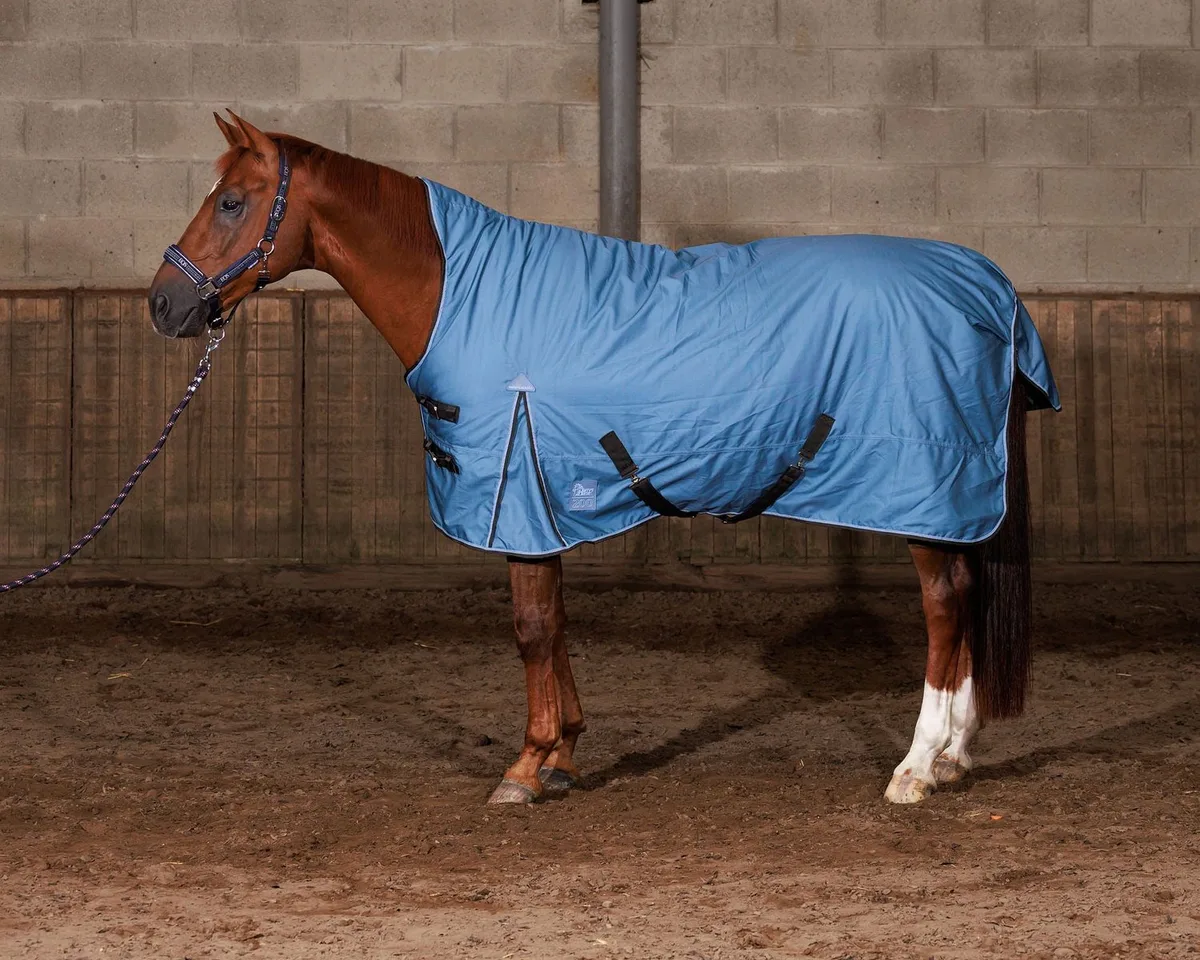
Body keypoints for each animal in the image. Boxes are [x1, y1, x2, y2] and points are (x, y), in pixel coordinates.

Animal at [149, 112, 1059, 807]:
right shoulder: (539, 498)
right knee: (965, 596)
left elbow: (529, 627)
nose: (164, 303)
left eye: (231, 201)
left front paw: (525, 767)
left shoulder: (513, 493)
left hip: (923, 490)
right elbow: (553, 623)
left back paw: (916, 768)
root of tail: (986, 285)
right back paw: (955, 755)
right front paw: (565, 751)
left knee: (945, 606)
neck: (461, 293)